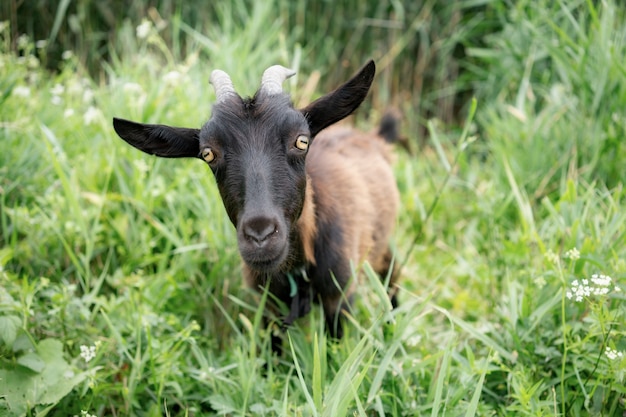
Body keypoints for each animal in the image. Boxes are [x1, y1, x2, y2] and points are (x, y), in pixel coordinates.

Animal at [111, 61, 400, 348]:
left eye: (302, 141)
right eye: (208, 153)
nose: (260, 235)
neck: (296, 269)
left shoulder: (340, 297)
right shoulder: (268, 307)